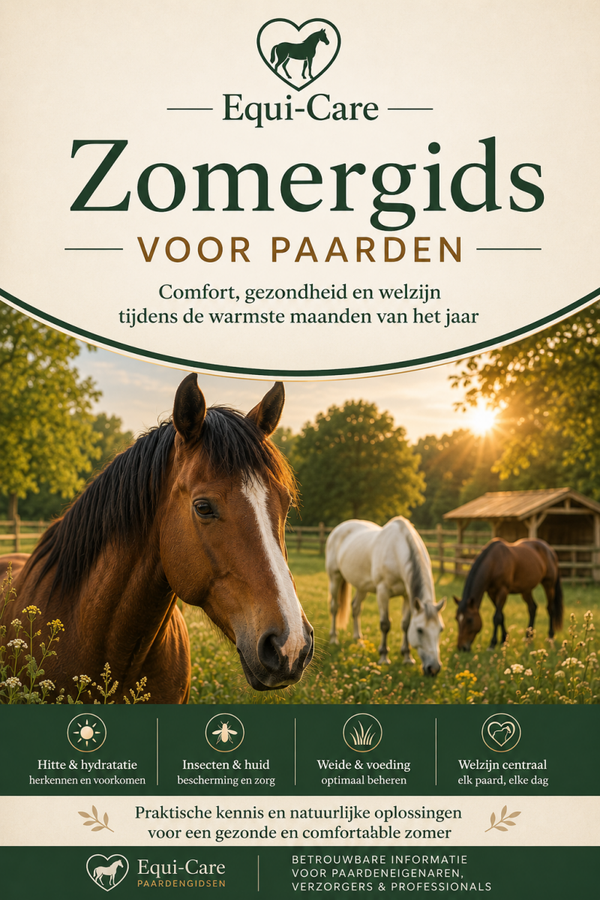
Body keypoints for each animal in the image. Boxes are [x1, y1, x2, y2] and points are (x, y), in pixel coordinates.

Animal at [326, 517, 446, 675]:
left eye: (440, 629)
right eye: (420, 630)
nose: (434, 669)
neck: (397, 549)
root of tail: (338, 528)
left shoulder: (407, 596)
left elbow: (405, 624)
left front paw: (407, 657)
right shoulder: (382, 592)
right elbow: (385, 624)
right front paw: (383, 657)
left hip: (362, 586)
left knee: (356, 608)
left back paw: (359, 641)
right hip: (335, 578)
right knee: (335, 607)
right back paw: (334, 638)